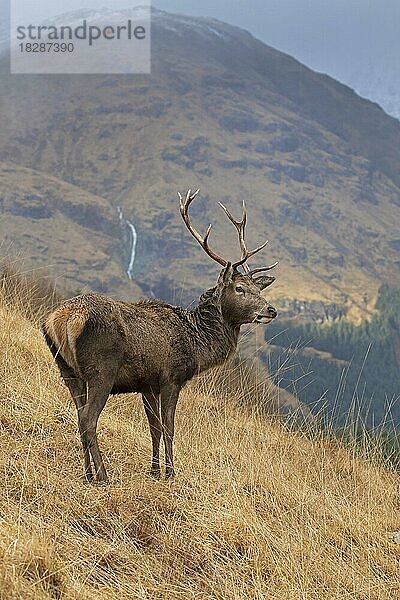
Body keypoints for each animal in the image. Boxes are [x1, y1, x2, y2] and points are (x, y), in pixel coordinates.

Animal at [42, 189, 276, 482]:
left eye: (258, 288)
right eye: (240, 288)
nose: (271, 310)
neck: (197, 342)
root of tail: (62, 318)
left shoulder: (147, 384)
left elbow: (153, 427)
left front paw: (154, 470)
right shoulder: (171, 377)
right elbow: (169, 427)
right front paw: (171, 472)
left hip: (67, 369)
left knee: (78, 414)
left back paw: (88, 473)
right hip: (101, 369)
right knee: (88, 419)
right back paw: (103, 475)